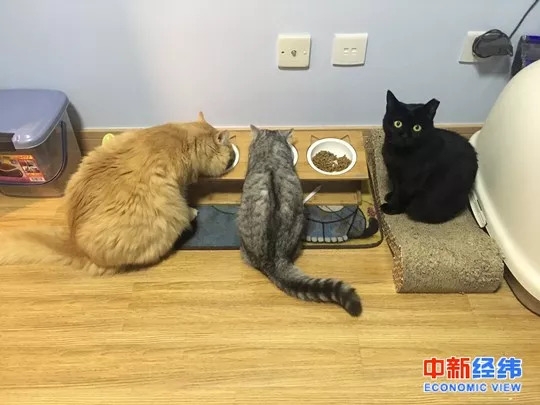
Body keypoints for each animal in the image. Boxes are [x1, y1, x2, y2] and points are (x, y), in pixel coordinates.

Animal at [0, 112, 235, 275]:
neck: (180, 138)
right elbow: (187, 204)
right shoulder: (176, 187)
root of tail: (75, 246)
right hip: (166, 220)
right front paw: (193, 211)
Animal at [380, 90, 478, 224]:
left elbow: (401, 194)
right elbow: (396, 187)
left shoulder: (412, 180)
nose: (405, 135)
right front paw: (390, 195)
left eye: (417, 127)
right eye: (397, 124)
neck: (400, 154)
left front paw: (392, 207)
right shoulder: (394, 172)